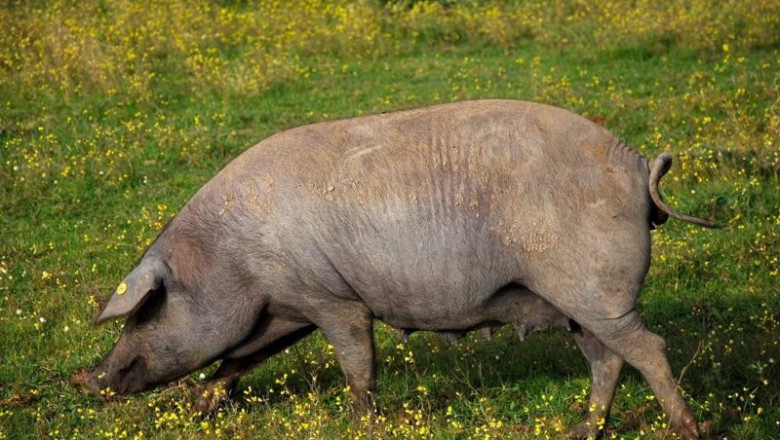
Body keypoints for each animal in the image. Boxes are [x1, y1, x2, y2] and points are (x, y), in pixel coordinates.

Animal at [82, 100, 717, 440]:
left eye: (147, 310)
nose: (84, 379)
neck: (232, 258)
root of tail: (636, 163)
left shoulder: (333, 299)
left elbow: (357, 363)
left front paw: (366, 423)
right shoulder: (287, 303)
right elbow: (242, 355)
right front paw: (202, 407)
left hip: (597, 290)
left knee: (648, 348)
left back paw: (689, 429)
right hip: (576, 303)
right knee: (608, 359)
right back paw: (579, 430)